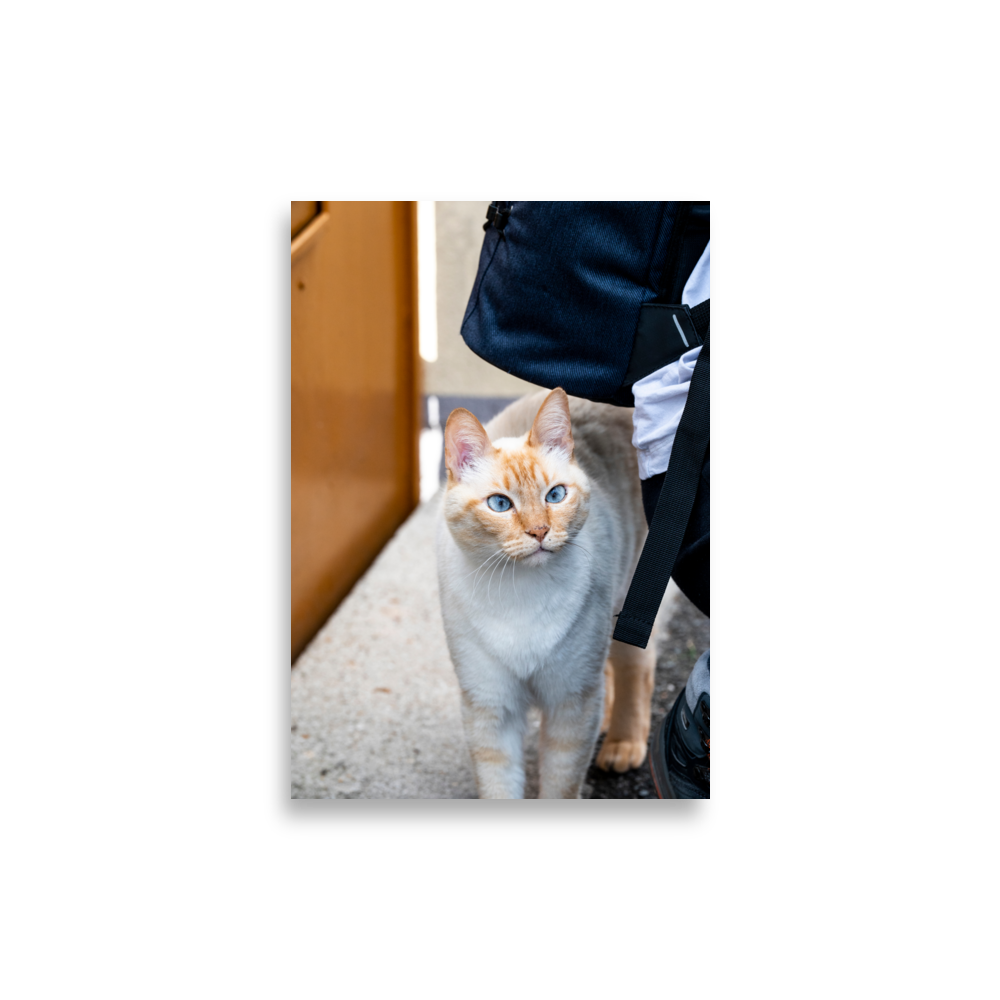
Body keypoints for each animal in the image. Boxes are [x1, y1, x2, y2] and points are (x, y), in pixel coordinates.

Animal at [436, 386, 656, 800]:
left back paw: (623, 743)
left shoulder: (571, 703)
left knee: (636, 666)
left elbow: (561, 783)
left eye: (554, 496)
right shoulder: (491, 707)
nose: (539, 531)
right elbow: (499, 785)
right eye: (500, 504)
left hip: (629, 600)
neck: (520, 595)